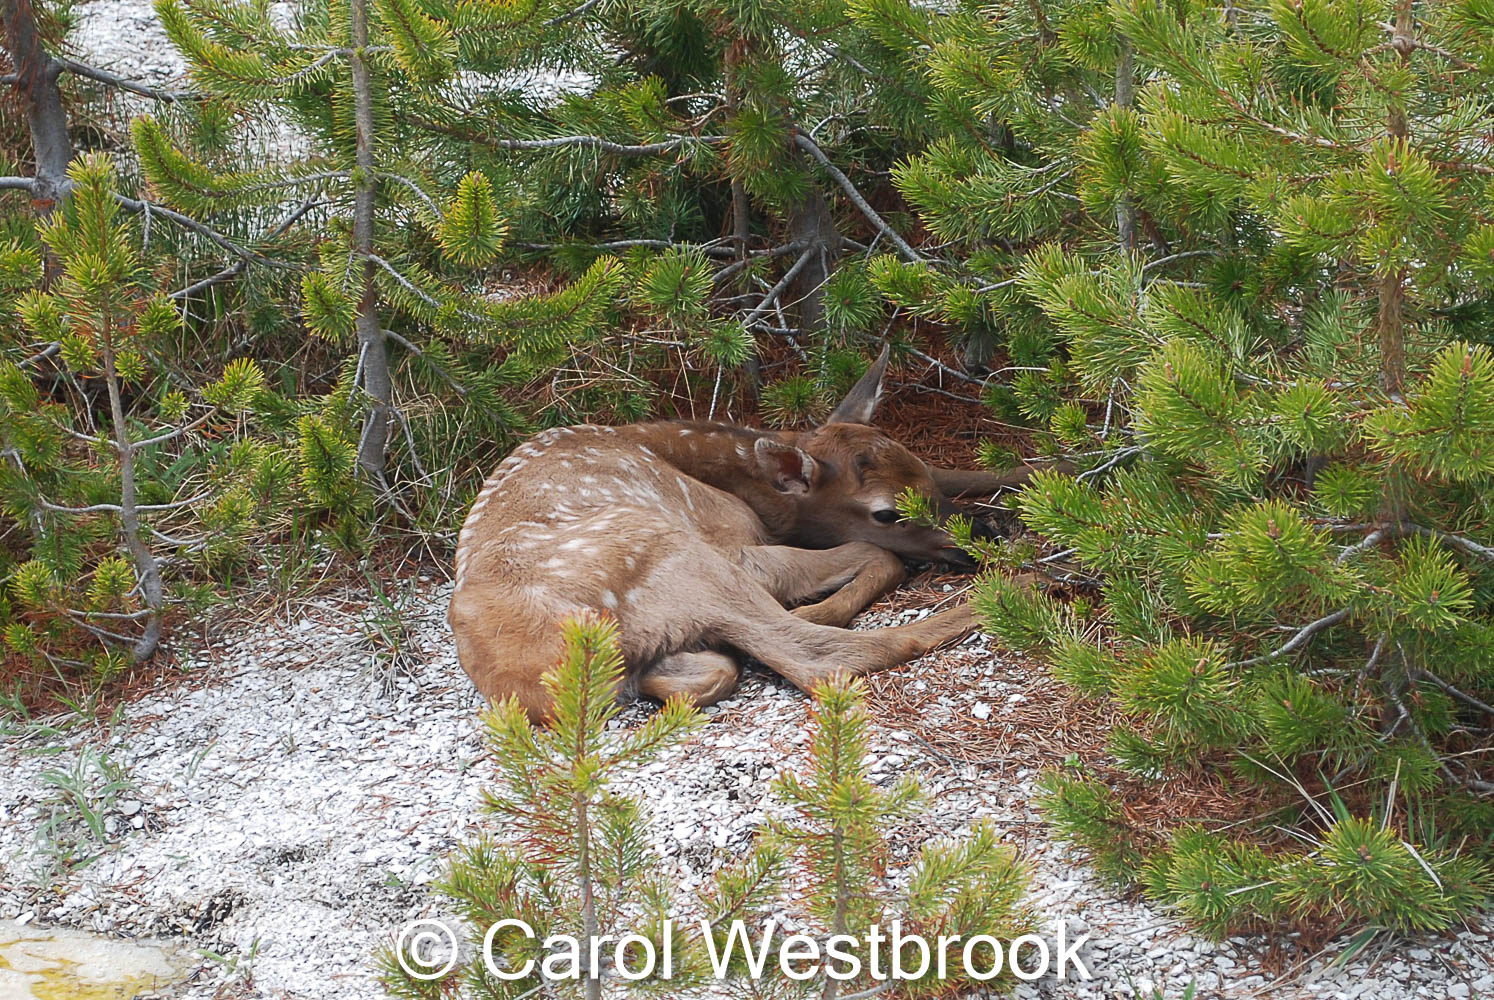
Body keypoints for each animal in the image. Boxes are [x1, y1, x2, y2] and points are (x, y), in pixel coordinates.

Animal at [451, 346, 1051, 714]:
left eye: (921, 473)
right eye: (886, 512)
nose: (981, 537)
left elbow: (977, 471)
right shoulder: (737, 543)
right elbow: (878, 554)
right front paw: (819, 604)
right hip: (677, 554)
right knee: (821, 657)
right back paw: (1033, 585)